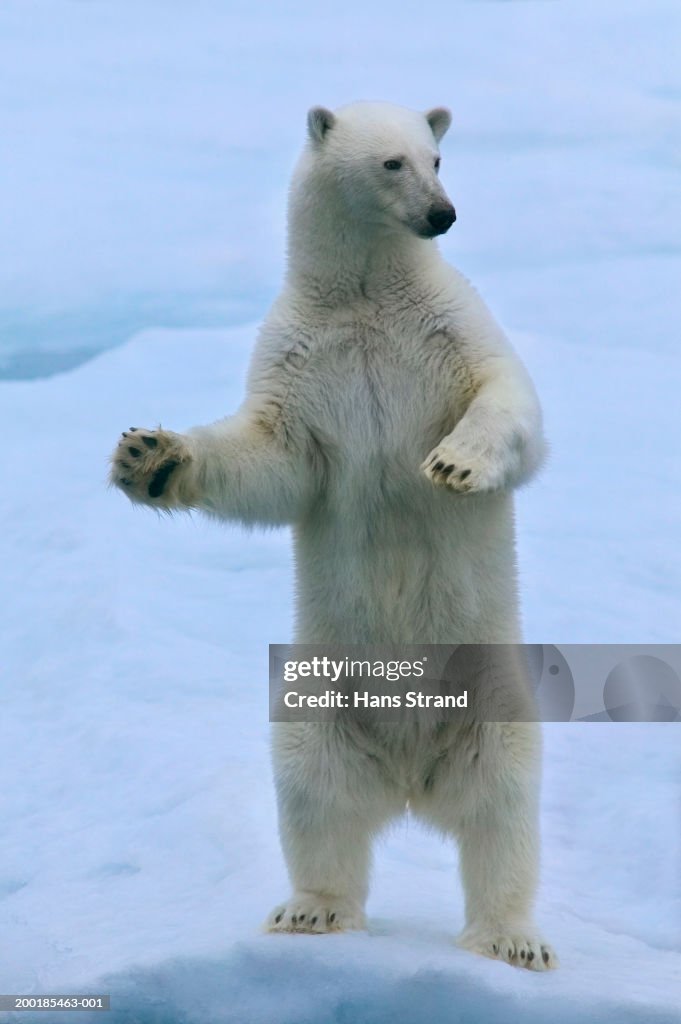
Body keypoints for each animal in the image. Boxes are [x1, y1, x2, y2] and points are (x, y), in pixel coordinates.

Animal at [111, 101, 557, 966]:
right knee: (314, 794)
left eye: (436, 157)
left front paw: (453, 462)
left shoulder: (449, 331)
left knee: (503, 808)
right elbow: (273, 461)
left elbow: (505, 400)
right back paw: (312, 911)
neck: (363, 298)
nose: (442, 215)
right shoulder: (301, 361)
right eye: (391, 163)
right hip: (320, 694)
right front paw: (148, 457)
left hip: (492, 695)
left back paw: (510, 939)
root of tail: (412, 780)